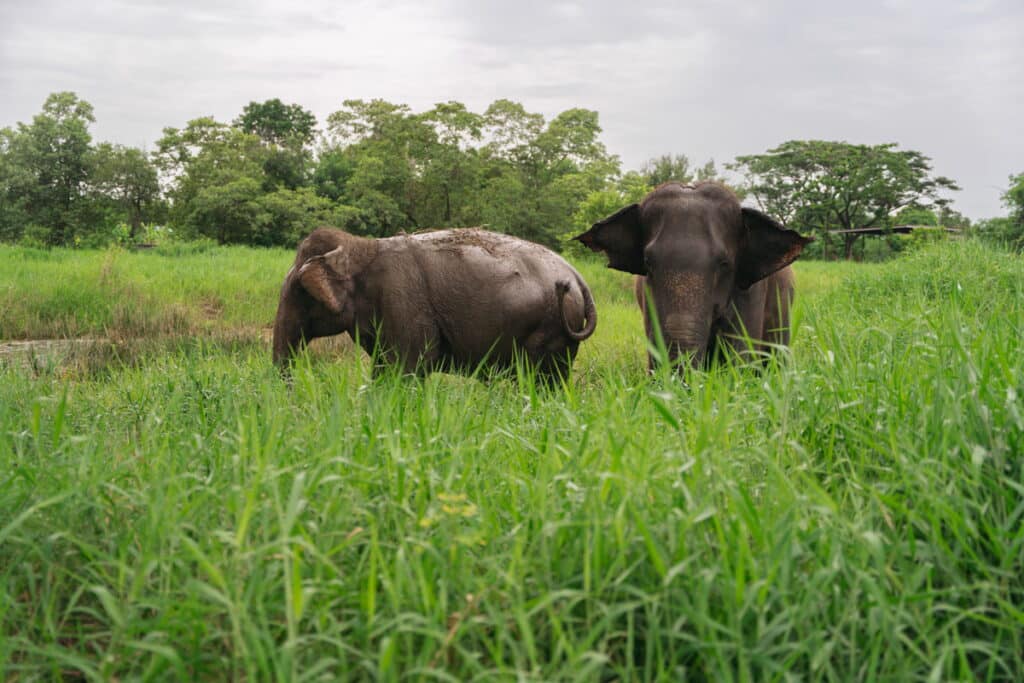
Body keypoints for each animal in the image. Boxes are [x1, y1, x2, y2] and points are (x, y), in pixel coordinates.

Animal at [272, 227, 597, 380]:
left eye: (300, 293)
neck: (361, 245)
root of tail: (576, 277)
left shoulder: (403, 302)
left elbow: (407, 368)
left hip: (550, 328)